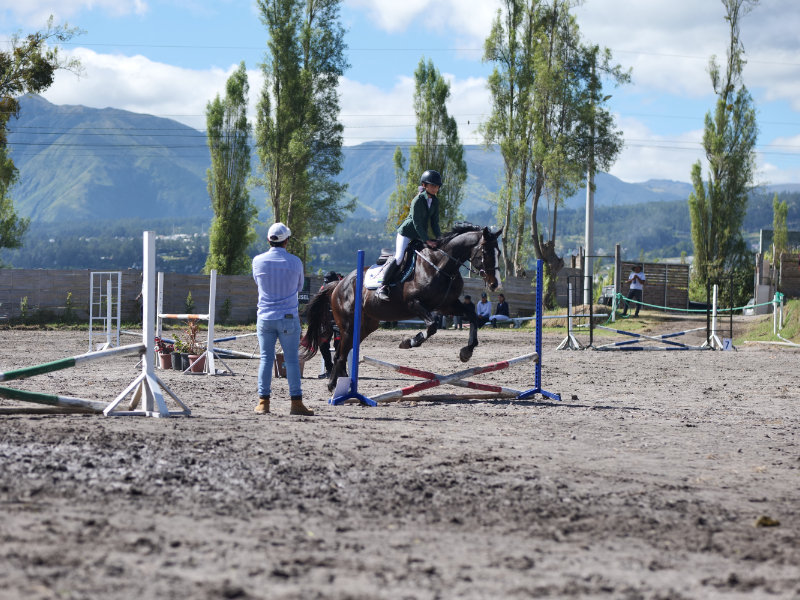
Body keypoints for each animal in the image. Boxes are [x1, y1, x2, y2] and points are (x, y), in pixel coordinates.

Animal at [302, 224, 503, 393]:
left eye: (499, 252)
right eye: (486, 252)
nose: (495, 285)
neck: (442, 266)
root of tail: (338, 284)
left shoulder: (447, 306)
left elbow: (472, 316)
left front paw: (466, 351)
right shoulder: (414, 304)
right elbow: (432, 326)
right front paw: (409, 342)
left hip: (366, 325)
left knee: (344, 352)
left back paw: (341, 385)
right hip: (348, 325)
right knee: (340, 355)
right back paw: (336, 386)